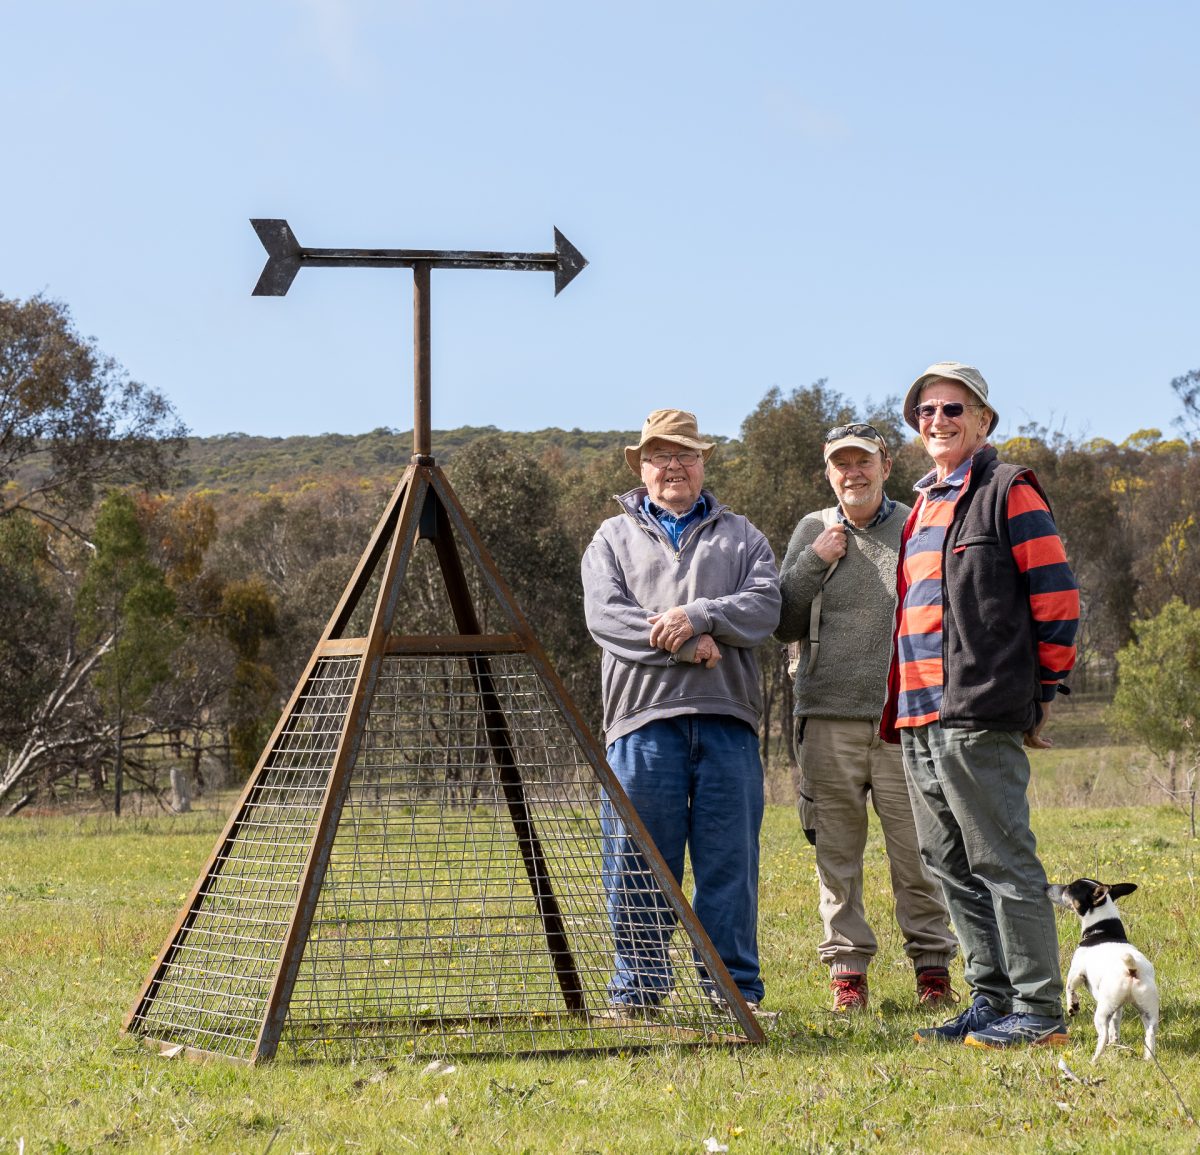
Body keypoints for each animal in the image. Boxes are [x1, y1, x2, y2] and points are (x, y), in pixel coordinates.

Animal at [1046, 878, 1156, 1056]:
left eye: (1069, 888)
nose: (1046, 886)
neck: (1102, 930)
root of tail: (1132, 970)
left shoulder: (1076, 972)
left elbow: (1069, 988)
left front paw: (1072, 1007)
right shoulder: (1118, 1010)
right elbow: (1115, 1025)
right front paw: (1115, 1041)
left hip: (1102, 1012)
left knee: (1102, 1035)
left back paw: (1095, 1057)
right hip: (1148, 1011)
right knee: (1150, 1035)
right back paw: (1148, 1058)